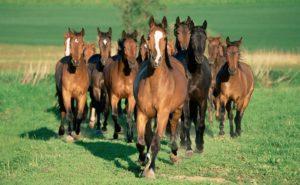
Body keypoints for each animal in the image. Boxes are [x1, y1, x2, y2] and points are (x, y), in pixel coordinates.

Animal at [134, 16, 188, 178]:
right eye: (149, 37)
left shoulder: (163, 114)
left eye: (164, 37)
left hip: (177, 110)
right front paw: (143, 161)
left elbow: (156, 142)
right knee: (148, 136)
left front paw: (150, 170)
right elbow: (141, 142)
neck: (154, 85)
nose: (156, 60)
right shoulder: (142, 113)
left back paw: (174, 154)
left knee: (174, 128)